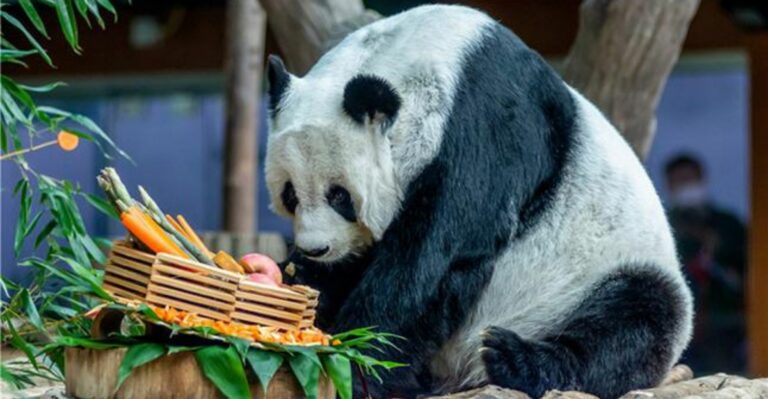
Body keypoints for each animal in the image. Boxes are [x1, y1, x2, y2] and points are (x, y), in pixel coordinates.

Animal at [264, 3, 696, 399]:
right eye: (290, 194)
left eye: (340, 195)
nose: (316, 249)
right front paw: (300, 280)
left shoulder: (487, 128)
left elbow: (435, 261)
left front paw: (357, 362)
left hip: (597, 275)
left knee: (636, 318)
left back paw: (514, 359)